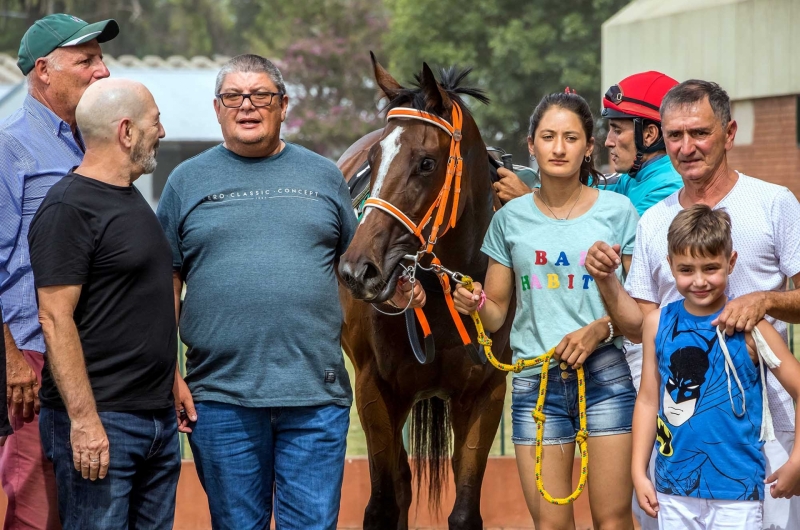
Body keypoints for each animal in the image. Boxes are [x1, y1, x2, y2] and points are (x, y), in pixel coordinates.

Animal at [336, 54, 512, 528]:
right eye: (375, 157)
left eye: (427, 163)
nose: (357, 270)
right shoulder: (374, 388)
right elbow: (383, 504)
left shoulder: (485, 393)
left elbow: (465, 510)